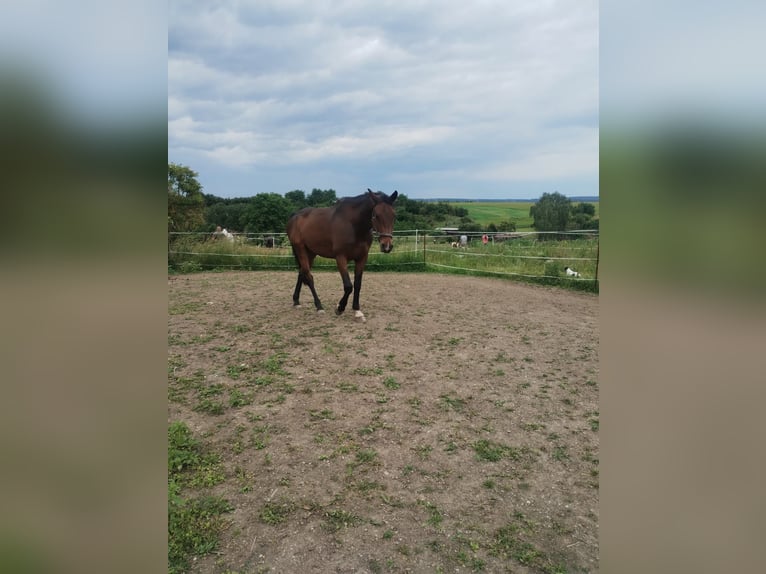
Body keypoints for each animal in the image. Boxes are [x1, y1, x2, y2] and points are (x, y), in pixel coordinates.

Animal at [286, 189, 398, 322]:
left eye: (393, 216)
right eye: (375, 215)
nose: (387, 246)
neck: (354, 225)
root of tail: (294, 217)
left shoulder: (362, 258)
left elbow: (358, 284)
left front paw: (357, 311)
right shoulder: (341, 258)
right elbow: (348, 286)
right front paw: (339, 308)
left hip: (311, 253)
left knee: (301, 273)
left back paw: (296, 301)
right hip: (300, 249)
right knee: (308, 276)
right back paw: (319, 306)